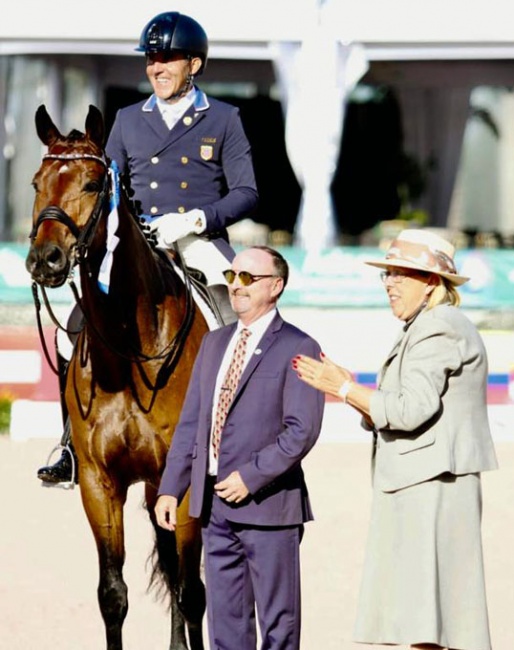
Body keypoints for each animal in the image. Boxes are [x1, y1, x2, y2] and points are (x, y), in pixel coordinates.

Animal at [24, 104, 208, 644]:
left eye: (91, 184)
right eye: (36, 183)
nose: (45, 260)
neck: (130, 353)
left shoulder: (183, 485)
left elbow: (192, 593)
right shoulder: (98, 482)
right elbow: (113, 595)